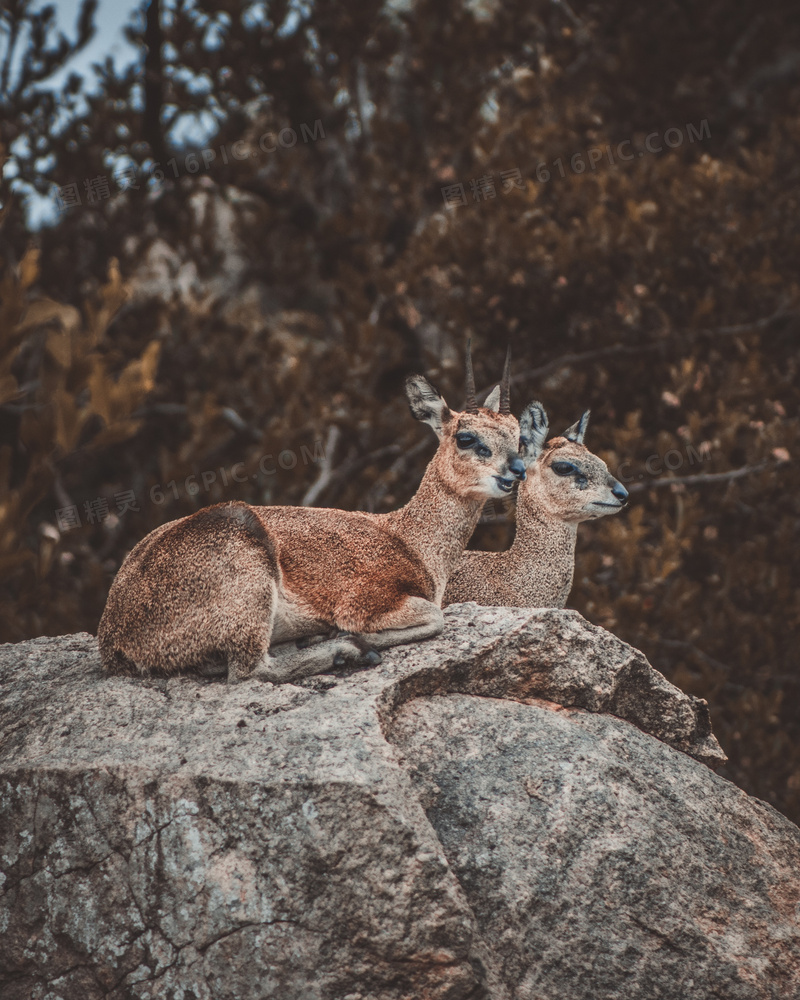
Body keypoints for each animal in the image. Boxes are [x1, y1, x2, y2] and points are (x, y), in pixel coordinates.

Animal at [98, 348, 524, 684]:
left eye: (519, 434)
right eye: (466, 437)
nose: (516, 471)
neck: (413, 542)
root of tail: (114, 634)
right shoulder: (364, 601)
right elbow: (434, 618)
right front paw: (344, 637)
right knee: (250, 670)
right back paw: (346, 651)